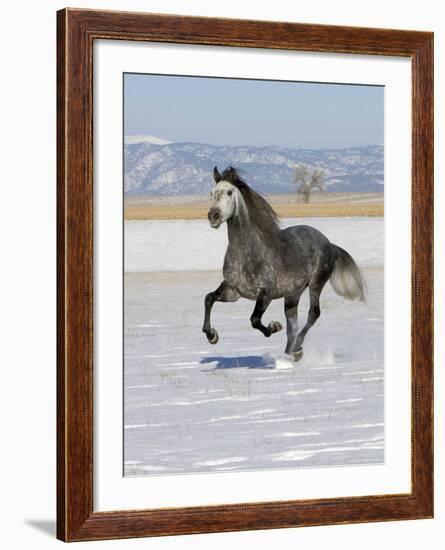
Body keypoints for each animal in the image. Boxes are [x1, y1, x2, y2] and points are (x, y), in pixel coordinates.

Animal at [201, 166, 364, 360]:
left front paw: (273, 327)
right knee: (292, 326)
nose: (213, 216)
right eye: (212, 193)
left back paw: (297, 349)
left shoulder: (266, 294)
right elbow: (208, 299)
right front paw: (212, 336)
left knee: (312, 315)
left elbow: (255, 320)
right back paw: (288, 357)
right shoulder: (232, 291)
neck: (248, 254)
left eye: (229, 192)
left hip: (316, 284)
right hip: (293, 294)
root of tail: (329, 243)